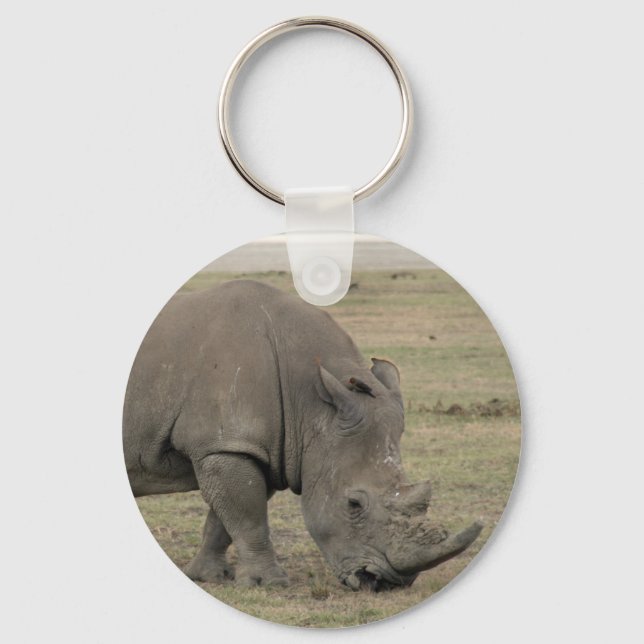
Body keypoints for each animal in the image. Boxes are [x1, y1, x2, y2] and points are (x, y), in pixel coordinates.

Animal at [123, 280, 482, 591]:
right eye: (353, 504)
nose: (384, 582)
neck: (312, 405)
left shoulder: (260, 447)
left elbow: (224, 518)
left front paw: (208, 576)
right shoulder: (225, 444)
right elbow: (247, 515)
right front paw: (268, 584)